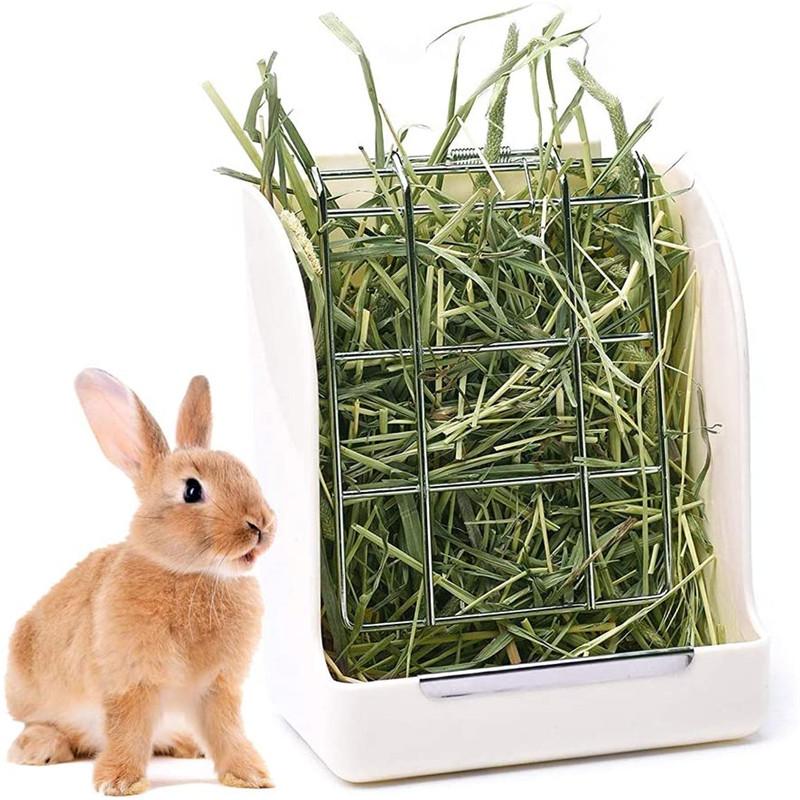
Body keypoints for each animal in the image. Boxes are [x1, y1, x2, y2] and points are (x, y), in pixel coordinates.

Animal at [5, 369, 276, 794]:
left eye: (244, 470)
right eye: (192, 490)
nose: (260, 524)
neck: (191, 574)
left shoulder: (218, 688)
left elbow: (226, 731)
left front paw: (250, 776)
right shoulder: (131, 681)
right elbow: (127, 729)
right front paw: (119, 783)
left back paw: (185, 745)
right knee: (40, 722)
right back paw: (39, 748)